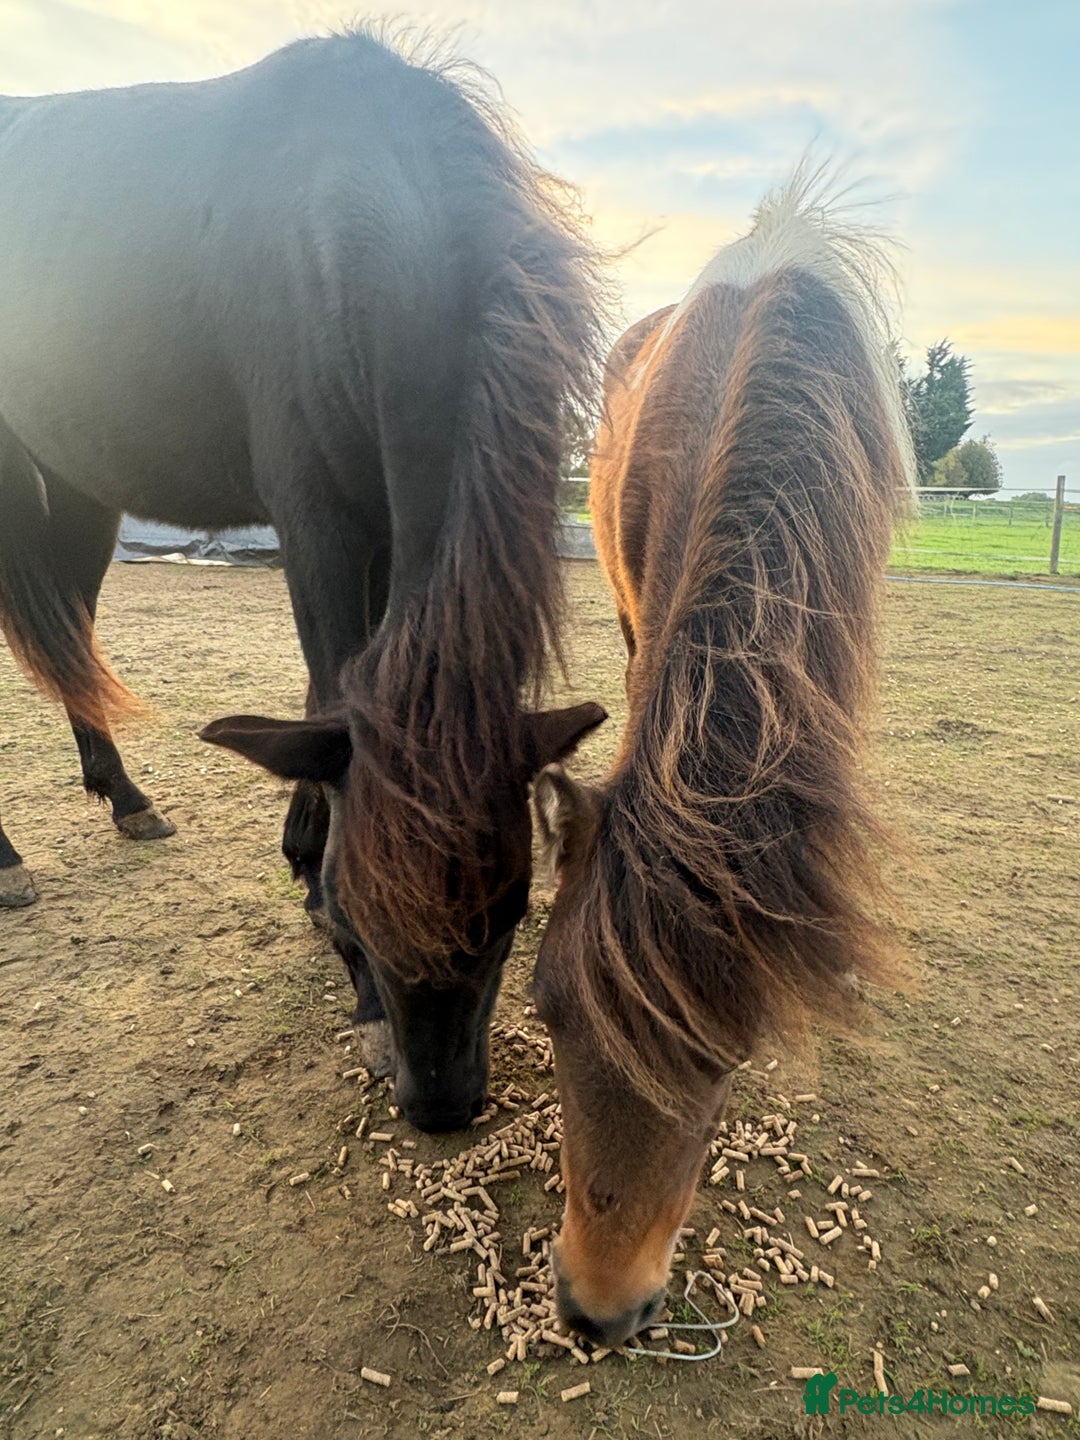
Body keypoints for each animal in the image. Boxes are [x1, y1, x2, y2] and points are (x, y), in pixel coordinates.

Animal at [0, 31, 607, 1132]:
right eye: (359, 912)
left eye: (513, 908)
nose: (441, 1109)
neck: (355, 208)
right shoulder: (315, 518)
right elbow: (327, 691)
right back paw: (6, 860)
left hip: (75, 486)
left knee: (69, 632)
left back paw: (125, 797)